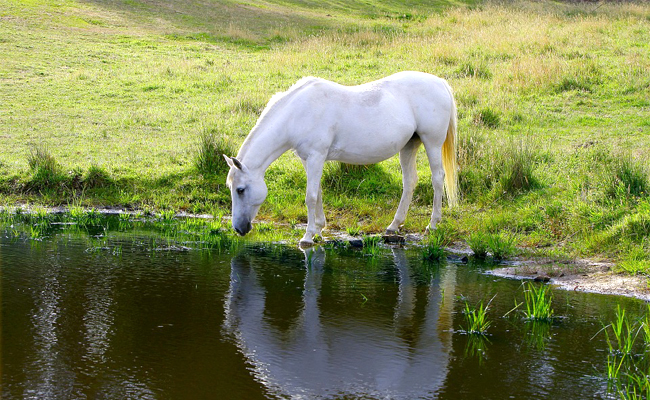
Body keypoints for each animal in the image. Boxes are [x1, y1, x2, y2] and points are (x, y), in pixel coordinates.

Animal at [225, 72, 458, 247]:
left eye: (240, 190)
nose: (239, 228)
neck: (298, 112)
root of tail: (440, 82)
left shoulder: (316, 156)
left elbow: (310, 196)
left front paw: (307, 237)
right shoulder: (309, 159)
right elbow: (317, 192)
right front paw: (319, 229)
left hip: (432, 143)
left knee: (438, 179)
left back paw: (433, 225)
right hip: (409, 146)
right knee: (409, 182)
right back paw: (393, 226)